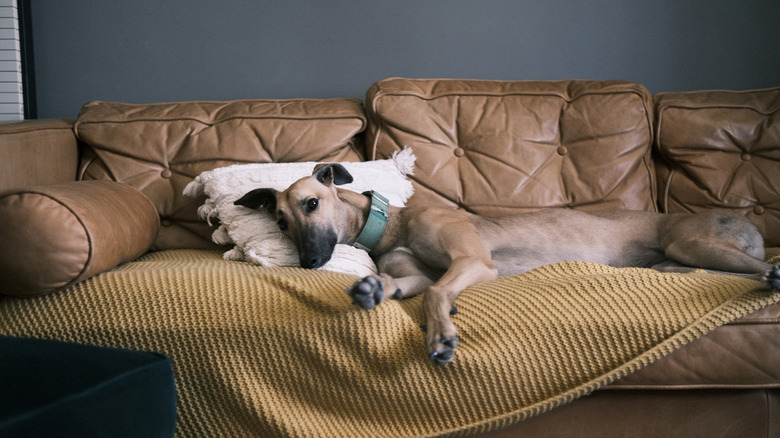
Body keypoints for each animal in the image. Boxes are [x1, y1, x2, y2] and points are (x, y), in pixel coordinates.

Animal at [236, 163, 780, 364]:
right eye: (280, 221)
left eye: (311, 204)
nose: (309, 262)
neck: (393, 222)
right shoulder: (415, 273)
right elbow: (412, 283)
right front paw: (375, 289)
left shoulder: (472, 260)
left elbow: (439, 291)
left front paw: (442, 334)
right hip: (679, 260)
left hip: (691, 243)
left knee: (747, 269)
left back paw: (771, 274)